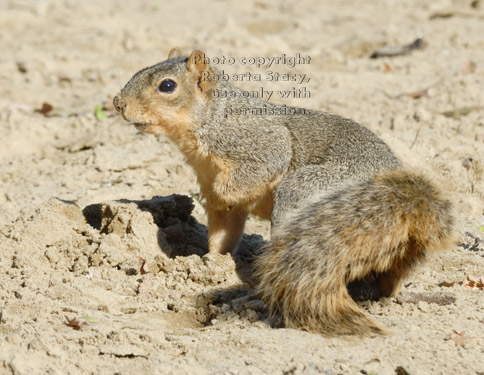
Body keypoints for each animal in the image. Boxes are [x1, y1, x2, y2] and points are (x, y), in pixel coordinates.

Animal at [114, 48, 458, 336]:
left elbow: (263, 166)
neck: (212, 116)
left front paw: (225, 193)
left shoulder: (257, 143)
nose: (119, 103)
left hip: (302, 192)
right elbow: (223, 232)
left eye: (167, 86)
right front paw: (210, 261)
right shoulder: (215, 194)